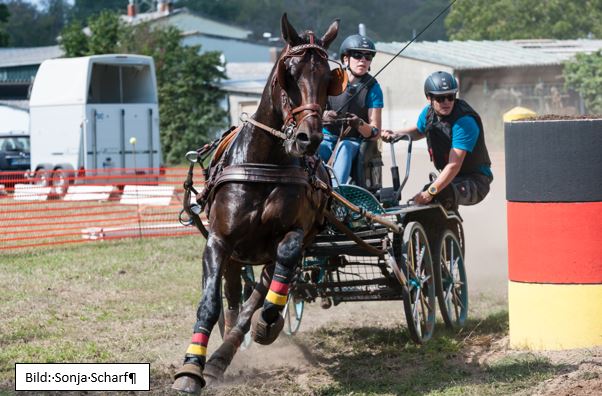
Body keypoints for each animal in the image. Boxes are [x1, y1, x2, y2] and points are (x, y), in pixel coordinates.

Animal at [171, 13, 344, 394]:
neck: (265, 162)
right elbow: (210, 303)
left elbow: (276, 278)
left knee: (259, 292)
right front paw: (191, 368)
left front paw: (268, 322)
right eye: (288, 73)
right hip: (236, 254)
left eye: (329, 78)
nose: (309, 139)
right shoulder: (219, 241)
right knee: (234, 293)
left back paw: (228, 352)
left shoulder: (294, 235)